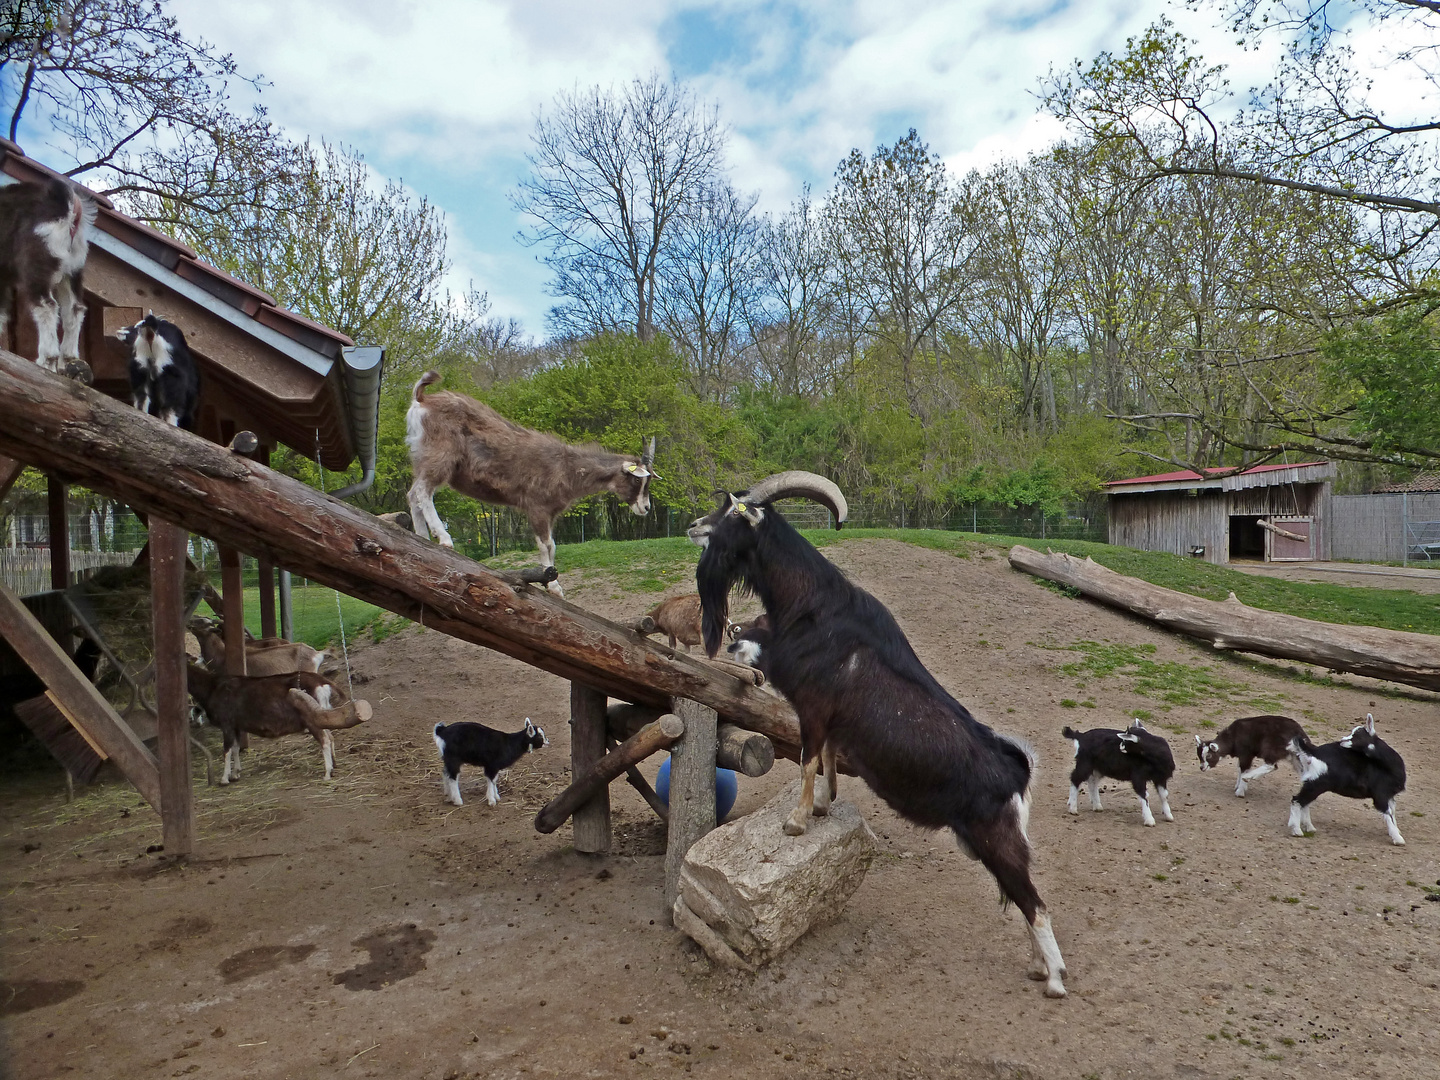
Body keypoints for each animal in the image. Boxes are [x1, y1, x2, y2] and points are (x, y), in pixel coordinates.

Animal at [0, 177, 92, 377]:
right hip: (72, 270)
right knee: (74, 309)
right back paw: (68, 361)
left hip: (38, 264)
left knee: (46, 306)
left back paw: (46, 361)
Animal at [185, 665, 371, 783]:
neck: (211, 688)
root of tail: (321, 682)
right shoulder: (236, 725)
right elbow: (236, 748)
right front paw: (235, 774)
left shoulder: (227, 723)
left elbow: (227, 750)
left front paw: (224, 779)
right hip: (323, 712)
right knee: (330, 736)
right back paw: (334, 765)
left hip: (311, 717)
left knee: (324, 740)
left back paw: (326, 773)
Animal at [403, 371, 656, 593]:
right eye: (637, 480)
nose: (645, 508)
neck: (566, 467)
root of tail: (422, 399)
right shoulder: (537, 507)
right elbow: (545, 545)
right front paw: (553, 586)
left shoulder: (550, 513)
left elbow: (553, 545)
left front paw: (553, 585)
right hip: (441, 455)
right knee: (423, 491)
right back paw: (443, 538)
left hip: (423, 458)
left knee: (413, 494)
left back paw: (421, 537)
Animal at [685, 472, 1071, 996]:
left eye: (732, 512)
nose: (692, 526)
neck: (811, 606)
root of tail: (1016, 772)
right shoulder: (830, 719)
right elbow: (827, 757)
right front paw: (823, 805)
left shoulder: (813, 706)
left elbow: (807, 758)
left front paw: (797, 821)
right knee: (1021, 899)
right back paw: (1037, 967)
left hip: (998, 841)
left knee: (1036, 905)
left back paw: (1054, 980)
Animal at [1290, 714, 1399, 852]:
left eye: (1357, 735)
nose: (1342, 740)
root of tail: (1313, 752)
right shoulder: (1380, 795)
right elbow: (1388, 813)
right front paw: (1399, 839)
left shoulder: (1389, 796)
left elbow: (1392, 813)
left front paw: (1395, 832)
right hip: (1316, 783)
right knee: (1297, 800)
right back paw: (1296, 830)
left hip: (1312, 783)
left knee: (1304, 803)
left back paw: (1309, 827)